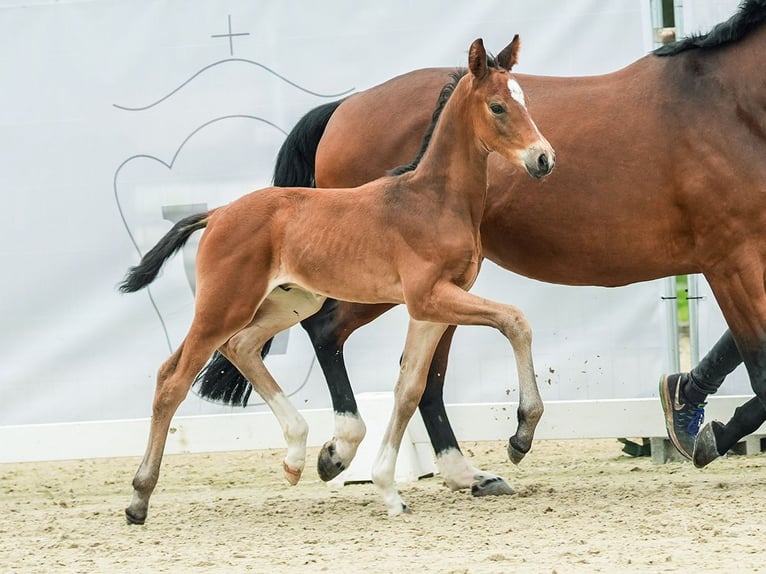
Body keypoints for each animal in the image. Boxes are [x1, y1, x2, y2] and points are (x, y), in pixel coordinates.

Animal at [120, 38, 556, 524]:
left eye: (525, 100)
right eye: (497, 106)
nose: (543, 158)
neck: (433, 200)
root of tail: (217, 213)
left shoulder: (433, 306)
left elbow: (409, 389)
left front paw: (388, 489)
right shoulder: (428, 297)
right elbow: (514, 321)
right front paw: (521, 436)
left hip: (291, 302)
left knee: (240, 347)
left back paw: (297, 455)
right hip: (224, 305)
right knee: (172, 378)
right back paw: (139, 499)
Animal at [198, 1, 766, 490]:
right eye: (497, 106)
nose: (544, 158)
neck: (728, 105)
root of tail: (343, 108)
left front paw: (698, 422)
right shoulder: (729, 258)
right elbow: (758, 364)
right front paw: (711, 433)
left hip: (434, 291)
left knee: (419, 374)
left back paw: (460, 473)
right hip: (387, 286)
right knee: (332, 332)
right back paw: (344, 449)